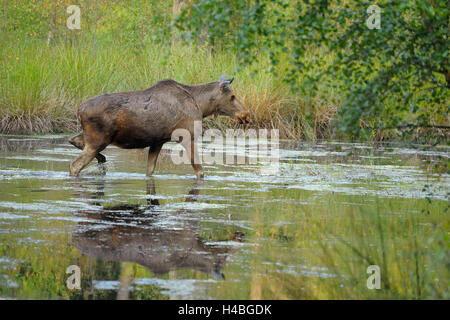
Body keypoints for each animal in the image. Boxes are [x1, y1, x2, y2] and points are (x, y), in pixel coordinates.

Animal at [68, 76, 250, 179]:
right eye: (232, 96)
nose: (246, 115)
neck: (201, 106)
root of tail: (79, 109)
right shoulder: (188, 136)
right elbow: (200, 172)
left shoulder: (158, 141)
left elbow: (150, 171)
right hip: (98, 139)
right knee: (74, 165)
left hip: (92, 136)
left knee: (73, 140)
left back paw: (102, 160)